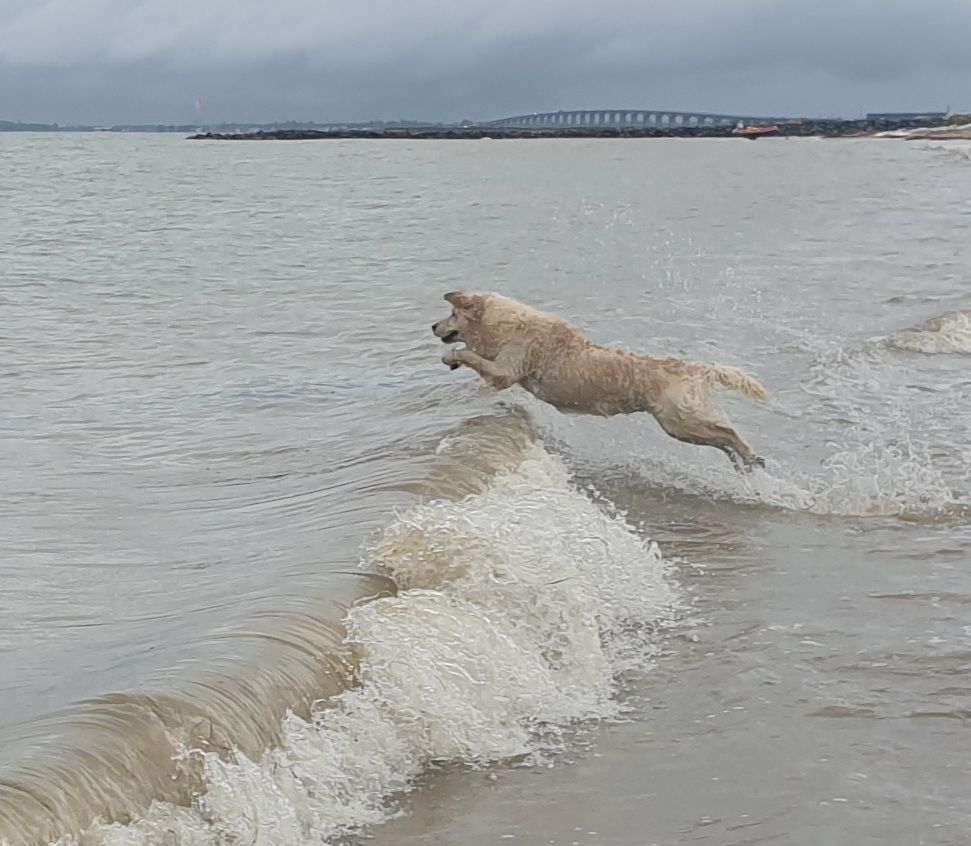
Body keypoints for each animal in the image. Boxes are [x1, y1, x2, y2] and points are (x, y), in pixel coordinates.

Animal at [430, 294, 768, 474]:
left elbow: (469, 354)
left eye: (452, 313)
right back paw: (744, 464)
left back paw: (749, 456)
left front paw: (452, 357)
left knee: (728, 433)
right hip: (682, 427)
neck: (506, 325)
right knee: (721, 439)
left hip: (680, 422)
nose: (433, 325)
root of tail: (690, 367)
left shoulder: (504, 371)